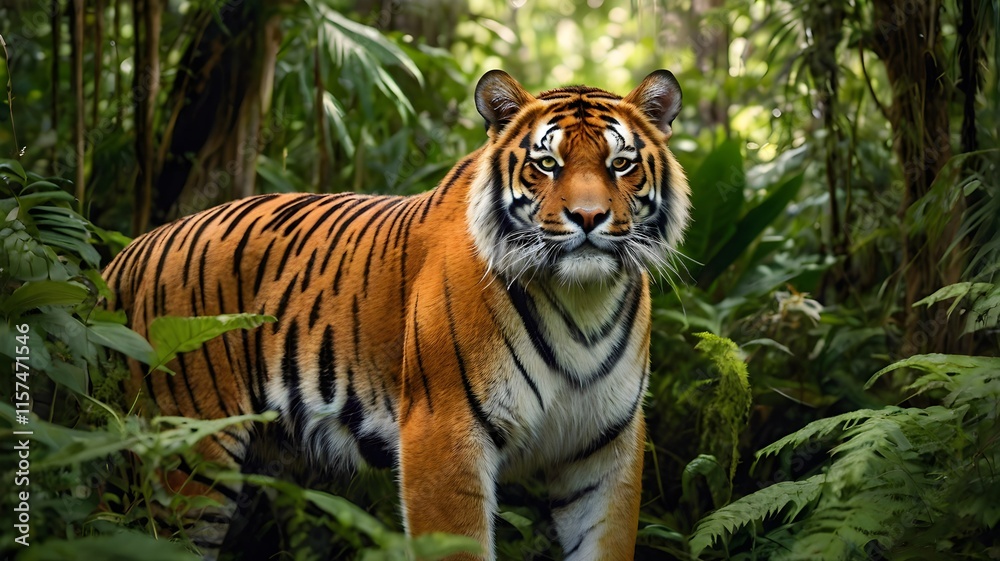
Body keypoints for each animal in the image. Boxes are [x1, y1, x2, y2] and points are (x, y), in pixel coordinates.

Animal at [103, 69, 689, 560]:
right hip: (189, 457)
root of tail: (127, 253)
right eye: (548, 164)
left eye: (620, 163)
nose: (588, 217)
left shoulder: (605, 448)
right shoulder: (443, 434)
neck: (581, 299)